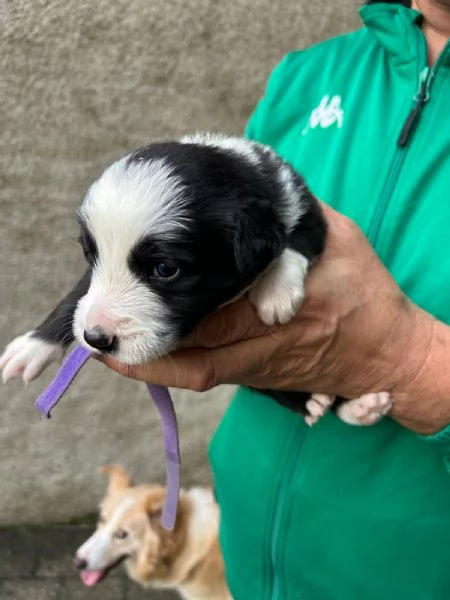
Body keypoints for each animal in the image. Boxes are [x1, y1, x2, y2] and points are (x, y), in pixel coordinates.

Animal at [0, 134, 390, 424]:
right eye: (89, 254)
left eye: (165, 269)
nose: (95, 338)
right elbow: (78, 293)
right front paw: (32, 346)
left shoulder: (308, 212)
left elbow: (295, 244)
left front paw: (276, 292)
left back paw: (351, 406)